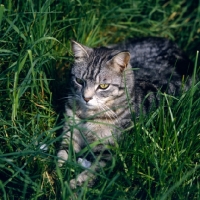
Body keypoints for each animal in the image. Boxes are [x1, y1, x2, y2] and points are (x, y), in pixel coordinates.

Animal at [56, 36, 192, 188]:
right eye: (79, 81)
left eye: (103, 86)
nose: (86, 97)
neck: (88, 115)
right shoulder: (70, 132)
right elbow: (62, 153)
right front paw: (58, 171)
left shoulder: (109, 149)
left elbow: (95, 168)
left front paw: (77, 183)